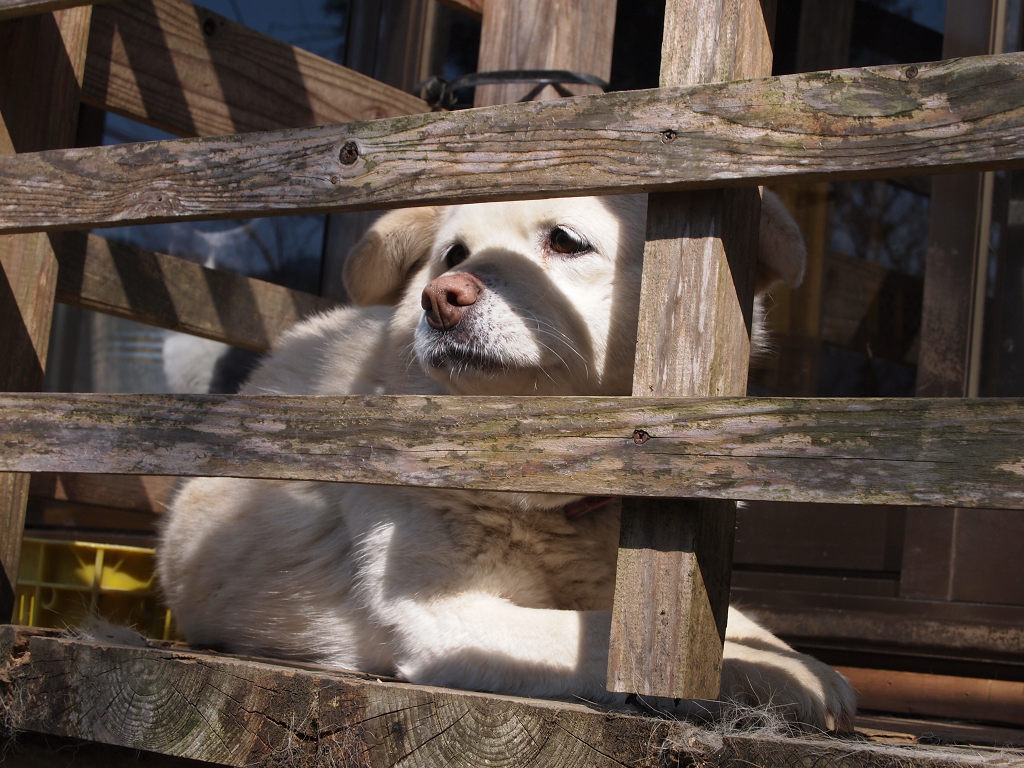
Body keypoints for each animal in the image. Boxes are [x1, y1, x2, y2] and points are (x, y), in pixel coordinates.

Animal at [159, 192, 860, 733]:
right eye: (453, 256)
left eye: (565, 241)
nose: (441, 297)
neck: (553, 494)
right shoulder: (451, 618)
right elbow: (611, 637)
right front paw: (781, 675)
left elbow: (734, 624)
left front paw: (806, 664)